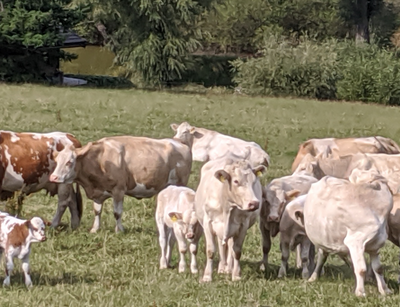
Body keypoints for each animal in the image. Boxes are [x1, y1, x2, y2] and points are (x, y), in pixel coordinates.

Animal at [50, 135, 194, 233]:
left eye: (69, 162)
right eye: (56, 161)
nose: (53, 177)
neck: (99, 160)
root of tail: (179, 143)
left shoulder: (118, 190)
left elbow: (117, 212)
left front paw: (119, 230)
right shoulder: (98, 193)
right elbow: (97, 211)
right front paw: (95, 229)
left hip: (180, 184)